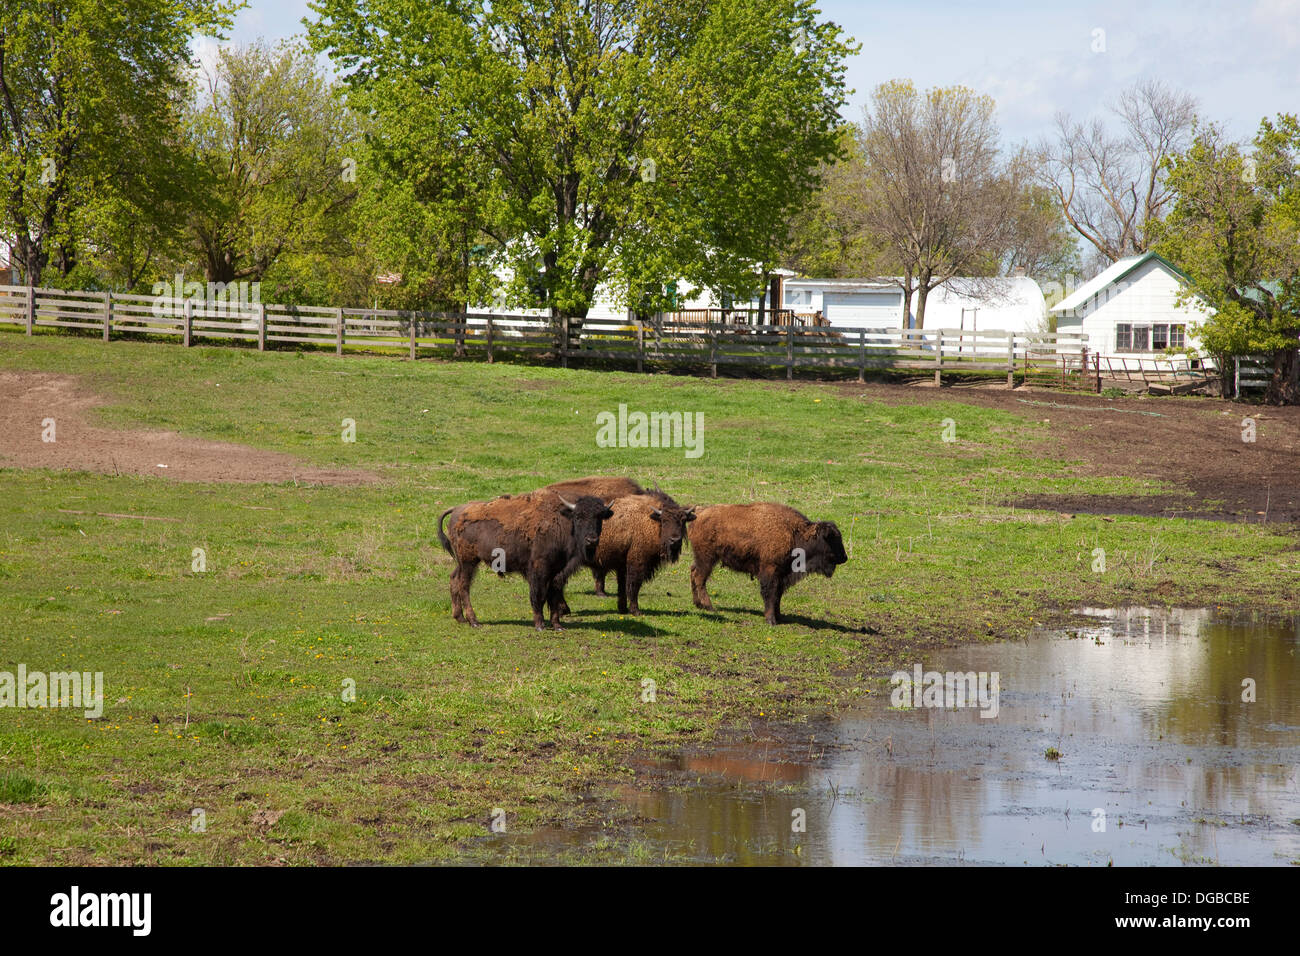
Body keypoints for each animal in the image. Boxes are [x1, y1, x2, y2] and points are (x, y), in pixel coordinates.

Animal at [436, 489, 613, 632]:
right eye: (579, 516)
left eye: (600, 517)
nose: (592, 540)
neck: (563, 521)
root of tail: (457, 510)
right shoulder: (539, 569)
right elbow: (539, 595)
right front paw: (540, 625)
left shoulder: (557, 572)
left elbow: (553, 596)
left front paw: (557, 626)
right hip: (469, 562)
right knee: (464, 586)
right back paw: (474, 621)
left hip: (462, 562)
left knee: (454, 579)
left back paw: (460, 618)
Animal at [686, 502, 847, 629]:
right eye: (833, 538)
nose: (844, 558)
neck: (794, 533)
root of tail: (700, 512)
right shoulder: (770, 571)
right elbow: (769, 593)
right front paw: (771, 620)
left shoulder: (782, 574)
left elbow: (778, 595)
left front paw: (779, 616)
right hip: (707, 559)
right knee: (700, 578)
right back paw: (709, 607)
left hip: (702, 559)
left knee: (693, 572)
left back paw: (697, 604)